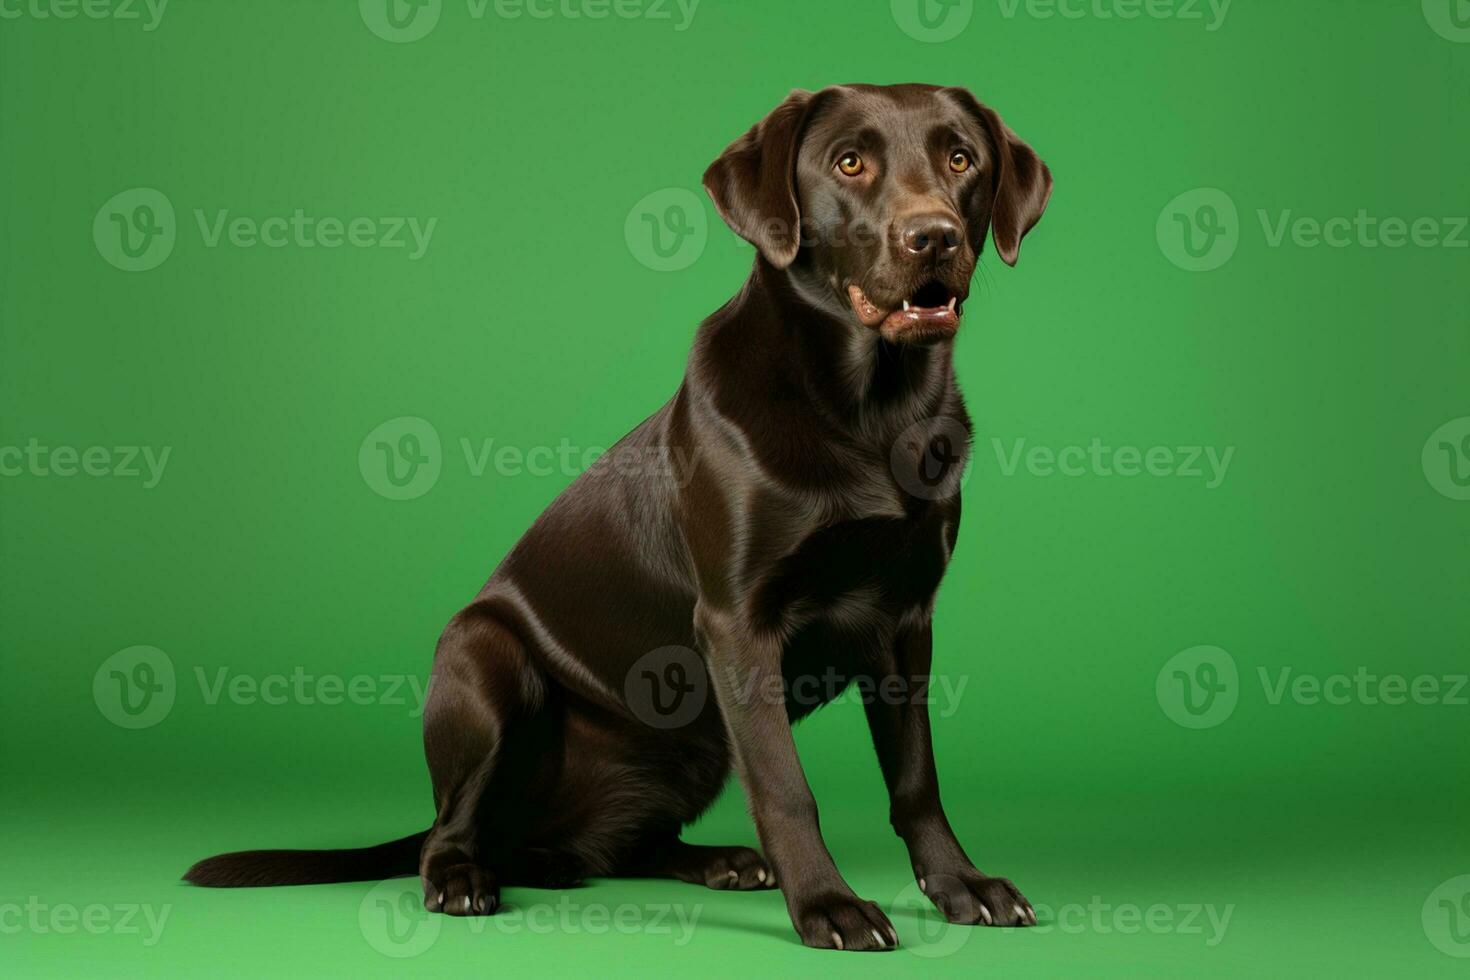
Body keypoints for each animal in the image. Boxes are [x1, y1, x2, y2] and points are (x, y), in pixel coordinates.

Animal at [189, 84, 1052, 952]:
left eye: (960, 158)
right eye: (849, 163)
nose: (933, 234)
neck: (869, 411)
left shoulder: (906, 620)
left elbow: (916, 779)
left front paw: (961, 885)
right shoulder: (738, 622)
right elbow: (785, 786)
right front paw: (828, 906)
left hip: (688, 747)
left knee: (620, 844)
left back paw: (707, 862)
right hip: (481, 655)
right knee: (451, 829)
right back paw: (466, 877)